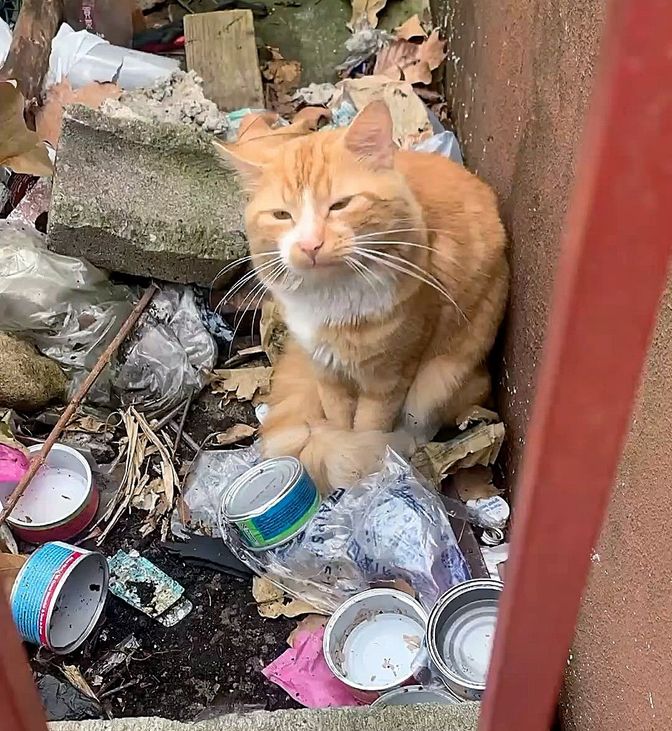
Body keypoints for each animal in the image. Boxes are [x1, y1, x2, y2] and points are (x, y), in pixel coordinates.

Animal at [217, 103, 510, 492]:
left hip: (439, 382)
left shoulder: (388, 379)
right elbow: (341, 421)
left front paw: (367, 471)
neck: (332, 300)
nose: (310, 245)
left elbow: (368, 427)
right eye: (282, 215)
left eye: (339, 205)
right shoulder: (326, 372)